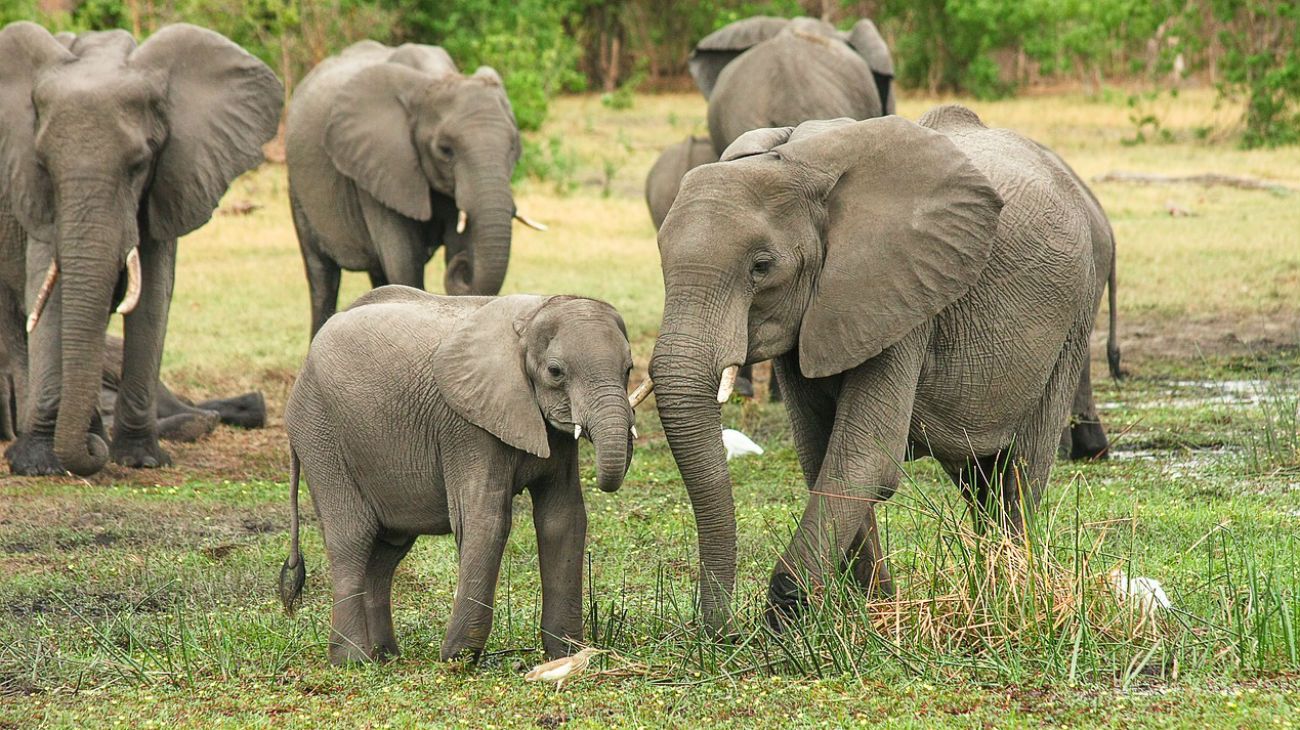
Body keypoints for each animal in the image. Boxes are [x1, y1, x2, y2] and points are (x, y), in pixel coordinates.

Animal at [0, 22, 282, 476]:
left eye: (138, 165)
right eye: (43, 165)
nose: (91, 453)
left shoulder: (171, 177)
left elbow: (152, 298)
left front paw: (141, 459)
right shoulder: (32, 194)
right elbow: (50, 293)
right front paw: (38, 464)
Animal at [280, 286, 636, 664]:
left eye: (628, 369)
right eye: (555, 372)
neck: (533, 315)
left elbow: (563, 519)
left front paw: (566, 655)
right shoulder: (466, 426)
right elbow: (486, 520)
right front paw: (458, 659)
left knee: (387, 551)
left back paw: (386, 656)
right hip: (319, 433)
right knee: (352, 537)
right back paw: (353, 661)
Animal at [287, 40, 543, 337]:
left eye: (514, 146)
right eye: (445, 150)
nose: (464, 266)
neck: (435, 79)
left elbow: (454, 244)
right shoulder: (380, 166)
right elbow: (403, 261)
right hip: (297, 189)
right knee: (322, 277)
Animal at [636, 106, 1106, 632]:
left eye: (761, 266)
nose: (725, 633)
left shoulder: (901, 294)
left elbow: (864, 459)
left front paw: (788, 618)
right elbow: (821, 454)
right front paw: (871, 612)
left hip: (1074, 316)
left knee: (1020, 469)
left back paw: (1012, 595)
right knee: (977, 478)